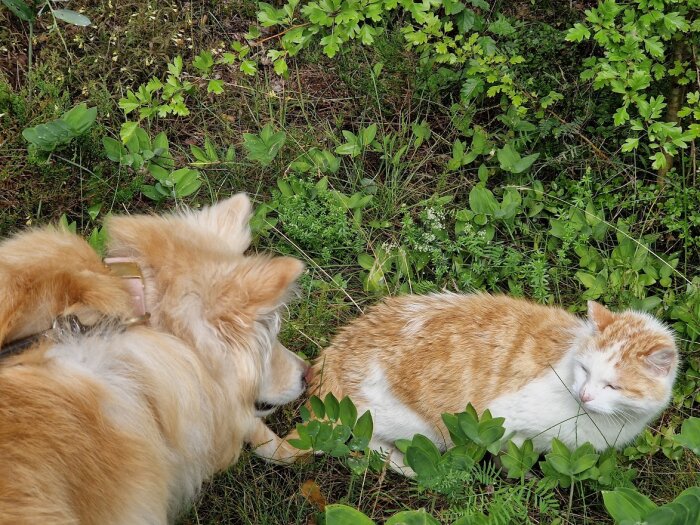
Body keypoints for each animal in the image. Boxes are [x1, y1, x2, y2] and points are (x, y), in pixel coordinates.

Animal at [300, 294, 680, 470]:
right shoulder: (500, 418)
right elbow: (506, 452)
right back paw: (405, 464)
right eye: (585, 370)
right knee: (363, 441)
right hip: (411, 424)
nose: (584, 395)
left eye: (612, 386)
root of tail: (331, 355)